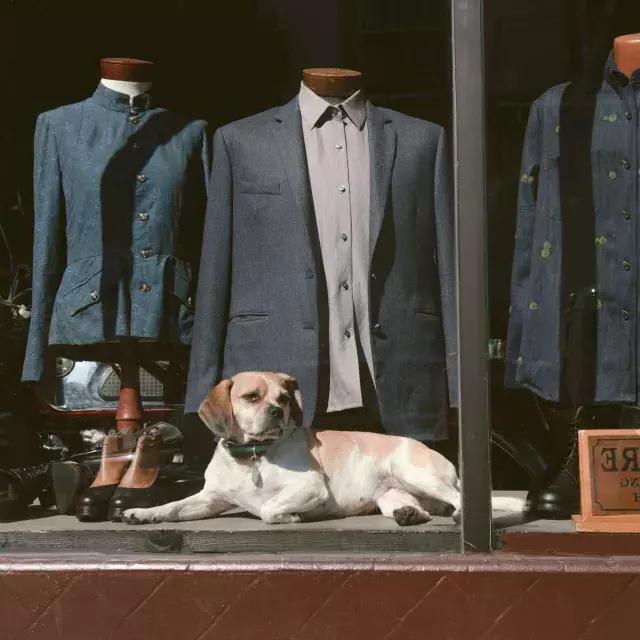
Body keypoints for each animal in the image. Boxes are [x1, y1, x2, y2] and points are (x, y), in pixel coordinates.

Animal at [122, 370, 524, 524]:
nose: (276, 411)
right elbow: (174, 507)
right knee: (419, 508)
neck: (253, 458)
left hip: (414, 472)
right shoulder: (210, 499)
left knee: (459, 500)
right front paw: (144, 513)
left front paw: (289, 516)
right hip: (392, 494)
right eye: (252, 397)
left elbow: (268, 508)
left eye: (284, 399)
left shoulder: (310, 486)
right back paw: (411, 515)